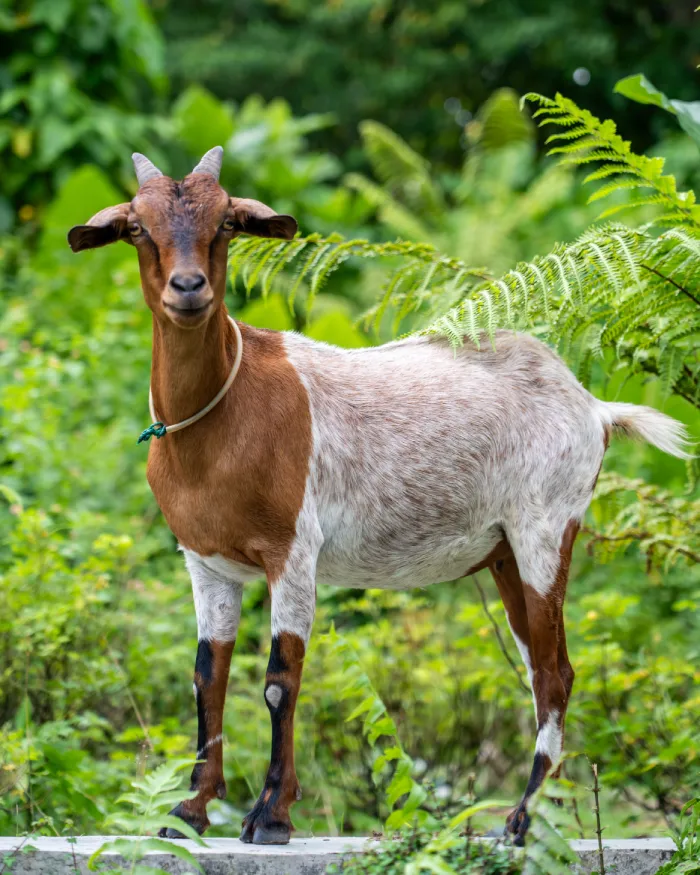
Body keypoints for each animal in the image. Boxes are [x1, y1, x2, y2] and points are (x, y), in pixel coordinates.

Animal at [68, 151, 692, 848]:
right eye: (137, 227)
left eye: (226, 222)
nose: (188, 288)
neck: (223, 414)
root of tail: (594, 406)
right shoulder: (205, 561)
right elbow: (208, 677)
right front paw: (189, 810)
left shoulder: (292, 549)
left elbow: (280, 680)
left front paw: (270, 815)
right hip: (505, 551)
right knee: (540, 668)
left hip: (547, 528)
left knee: (557, 674)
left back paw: (523, 819)